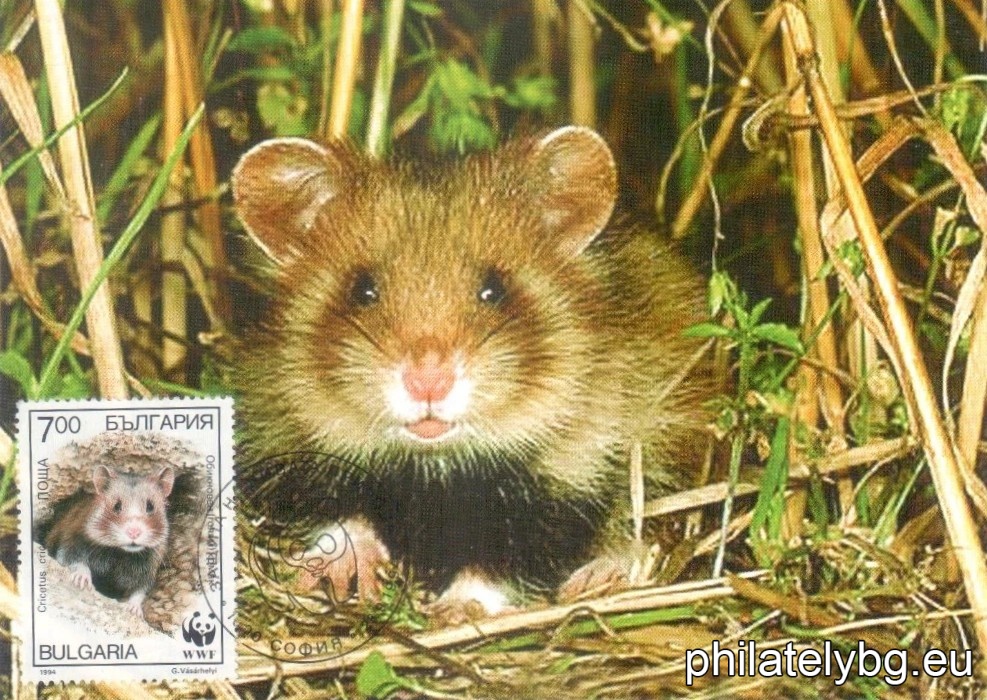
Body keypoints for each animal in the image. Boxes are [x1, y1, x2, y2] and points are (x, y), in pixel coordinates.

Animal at [38, 466, 174, 617]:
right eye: (116, 506)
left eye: (150, 506)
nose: (134, 532)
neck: (119, 553)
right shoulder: (70, 544)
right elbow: (74, 561)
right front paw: (82, 582)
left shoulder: (148, 570)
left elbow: (139, 591)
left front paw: (134, 610)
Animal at [231, 127, 714, 617]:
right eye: (362, 290)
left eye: (494, 289)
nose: (428, 382)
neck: (434, 466)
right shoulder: (301, 452)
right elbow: (342, 512)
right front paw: (339, 575)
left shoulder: (569, 478)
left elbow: (504, 556)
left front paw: (453, 612)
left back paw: (595, 582)